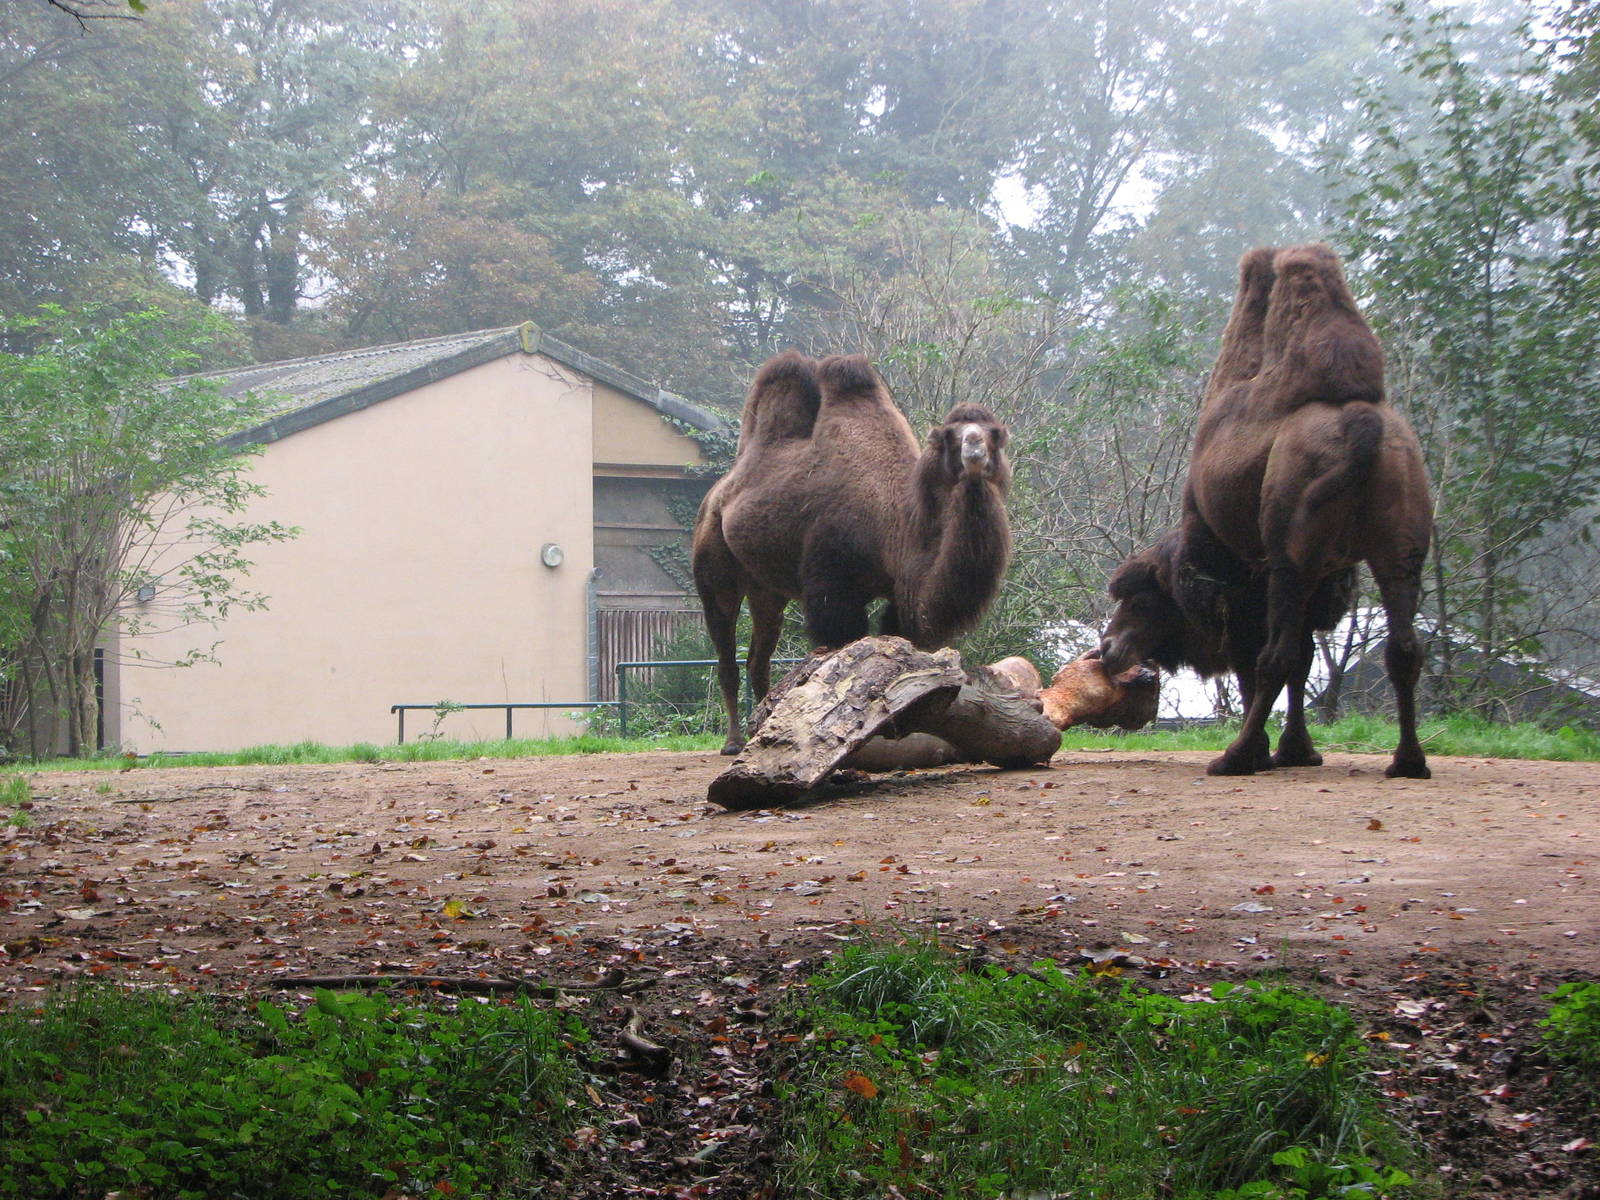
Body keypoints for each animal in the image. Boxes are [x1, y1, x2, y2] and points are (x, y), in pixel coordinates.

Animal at [692, 351, 1013, 754]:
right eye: (949, 437)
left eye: (995, 434)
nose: (974, 447)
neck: (892, 525)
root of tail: (717, 493)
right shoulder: (830, 584)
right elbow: (839, 652)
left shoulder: (899, 593)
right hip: (714, 568)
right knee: (726, 654)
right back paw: (734, 741)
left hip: (767, 591)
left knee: (758, 658)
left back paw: (756, 730)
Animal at [1098, 243, 1434, 779]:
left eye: (1141, 600)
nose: (1107, 649)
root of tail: (1359, 418)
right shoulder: (1321, 587)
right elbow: (1303, 659)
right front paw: (1297, 750)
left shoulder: (1236, 586)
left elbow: (1257, 659)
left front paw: (1266, 750)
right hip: (1400, 541)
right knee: (1402, 645)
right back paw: (1409, 760)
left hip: (1292, 557)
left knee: (1274, 655)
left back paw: (1232, 758)